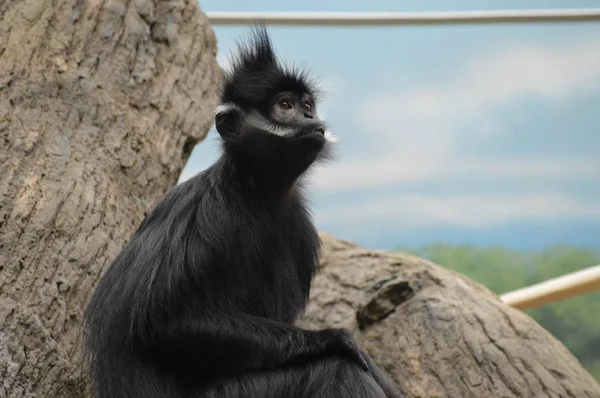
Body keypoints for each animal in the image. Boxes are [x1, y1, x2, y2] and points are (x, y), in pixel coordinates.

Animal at [79, 25, 398, 398]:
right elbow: (160, 324)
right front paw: (334, 339)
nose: (310, 117)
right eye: (285, 105)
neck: (256, 191)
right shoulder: (208, 211)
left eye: (307, 105)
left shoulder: (300, 225)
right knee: (336, 371)